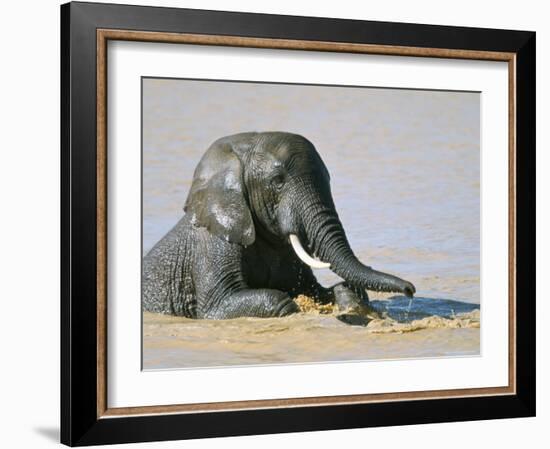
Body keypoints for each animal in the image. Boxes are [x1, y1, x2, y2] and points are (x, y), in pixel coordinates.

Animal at [143, 130, 418, 318]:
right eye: (277, 181)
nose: (410, 289)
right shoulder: (212, 245)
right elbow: (218, 305)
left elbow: (313, 289)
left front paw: (347, 295)